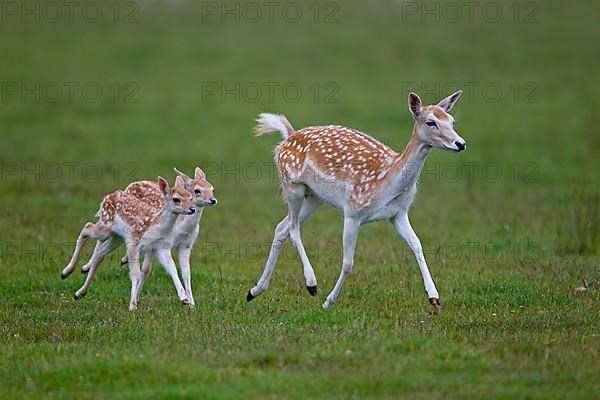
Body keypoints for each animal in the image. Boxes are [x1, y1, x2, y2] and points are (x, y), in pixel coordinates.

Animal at [246, 91, 466, 310]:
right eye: (431, 122)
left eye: (452, 121)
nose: (461, 143)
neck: (388, 181)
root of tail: (287, 136)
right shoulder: (353, 211)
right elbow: (348, 262)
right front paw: (328, 301)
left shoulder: (398, 213)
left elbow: (418, 245)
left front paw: (434, 297)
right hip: (292, 186)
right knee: (293, 228)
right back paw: (311, 284)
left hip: (314, 197)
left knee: (281, 227)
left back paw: (254, 291)